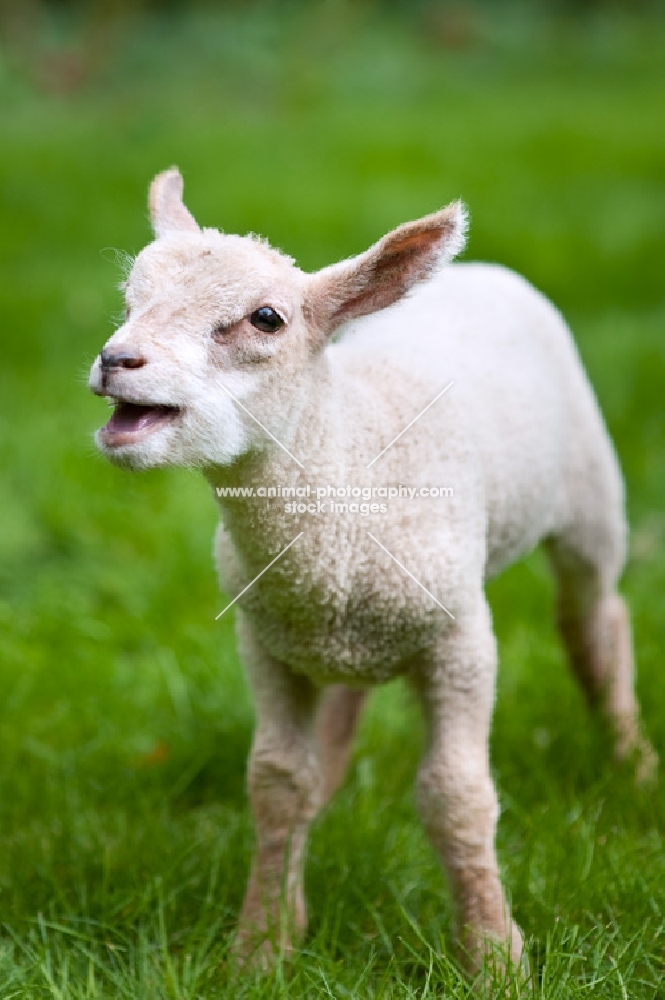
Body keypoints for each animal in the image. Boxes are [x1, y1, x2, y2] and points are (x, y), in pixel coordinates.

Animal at [87, 168, 652, 980]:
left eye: (266, 319)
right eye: (131, 296)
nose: (116, 360)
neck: (352, 457)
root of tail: (479, 269)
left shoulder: (460, 638)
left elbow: (457, 797)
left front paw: (494, 956)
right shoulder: (264, 640)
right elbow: (277, 783)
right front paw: (263, 947)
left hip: (588, 498)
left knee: (594, 627)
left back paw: (631, 766)